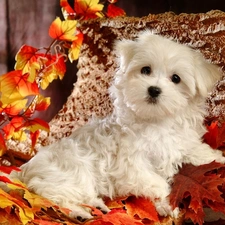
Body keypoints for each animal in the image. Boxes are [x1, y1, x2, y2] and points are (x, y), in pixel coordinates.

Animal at [11, 31, 225, 220]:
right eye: (145, 70)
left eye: (176, 79)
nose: (154, 90)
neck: (156, 121)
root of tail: (24, 170)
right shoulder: (131, 165)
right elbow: (157, 183)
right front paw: (167, 203)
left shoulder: (181, 140)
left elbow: (196, 150)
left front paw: (217, 157)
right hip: (69, 173)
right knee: (54, 196)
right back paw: (80, 213)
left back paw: (95, 206)